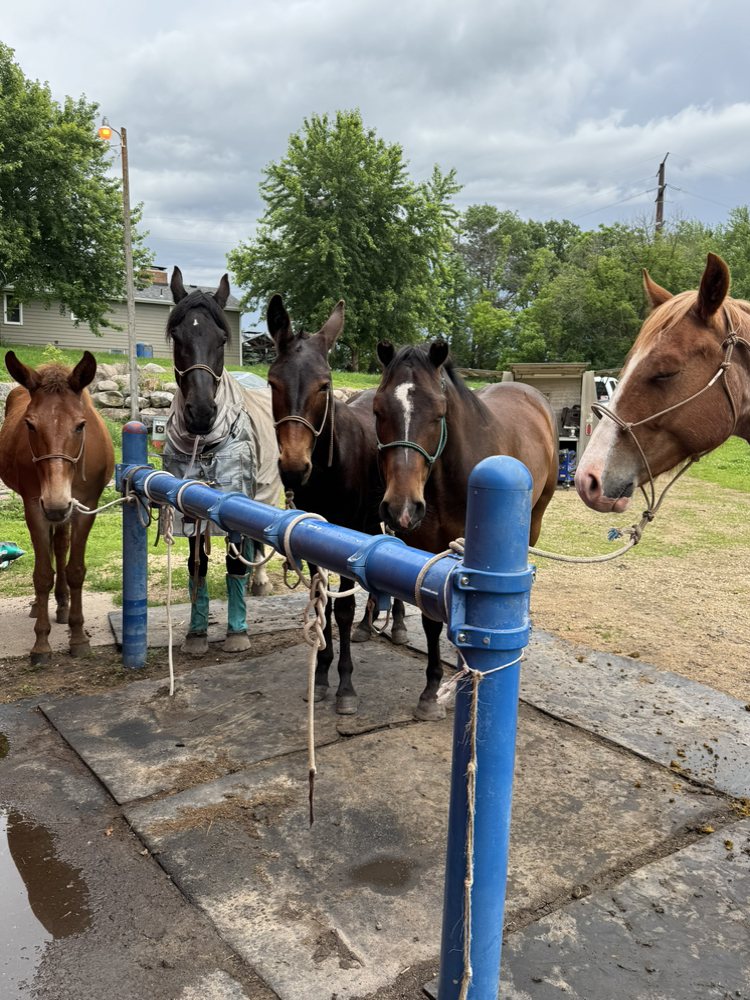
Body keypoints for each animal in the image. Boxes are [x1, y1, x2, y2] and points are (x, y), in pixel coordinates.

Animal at [0, 351, 115, 664]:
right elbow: (42, 575)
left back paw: (63, 605)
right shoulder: (35, 507)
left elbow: (75, 570)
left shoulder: (86, 507)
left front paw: (77, 636)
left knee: (61, 544)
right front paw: (41, 643)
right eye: (29, 424)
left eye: (81, 424)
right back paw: (41, 606)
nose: (55, 503)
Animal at [163, 267, 282, 654]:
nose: (201, 412)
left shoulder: (236, 499)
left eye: (221, 338)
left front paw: (237, 632)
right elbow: (195, 567)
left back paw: (259, 581)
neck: (204, 443)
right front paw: (196, 633)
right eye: (177, 335)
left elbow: (234, 564)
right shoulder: (187, 508)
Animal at [266, 294, 407, 716]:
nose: (294, 467)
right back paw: (368, 624)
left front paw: (345, 685)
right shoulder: (311, 537)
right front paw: (322, 675)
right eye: (272, 383)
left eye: (324, 386)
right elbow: (321, 606)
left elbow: (341, 610)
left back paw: (396, 624)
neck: (329, 469)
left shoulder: (349, 535)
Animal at [374, 340, 559, 719]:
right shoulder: (426, 549)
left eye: (438, 413)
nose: (402, 507)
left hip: (534, 519)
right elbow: (431, 620)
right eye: (377, 410)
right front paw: (431, 693)